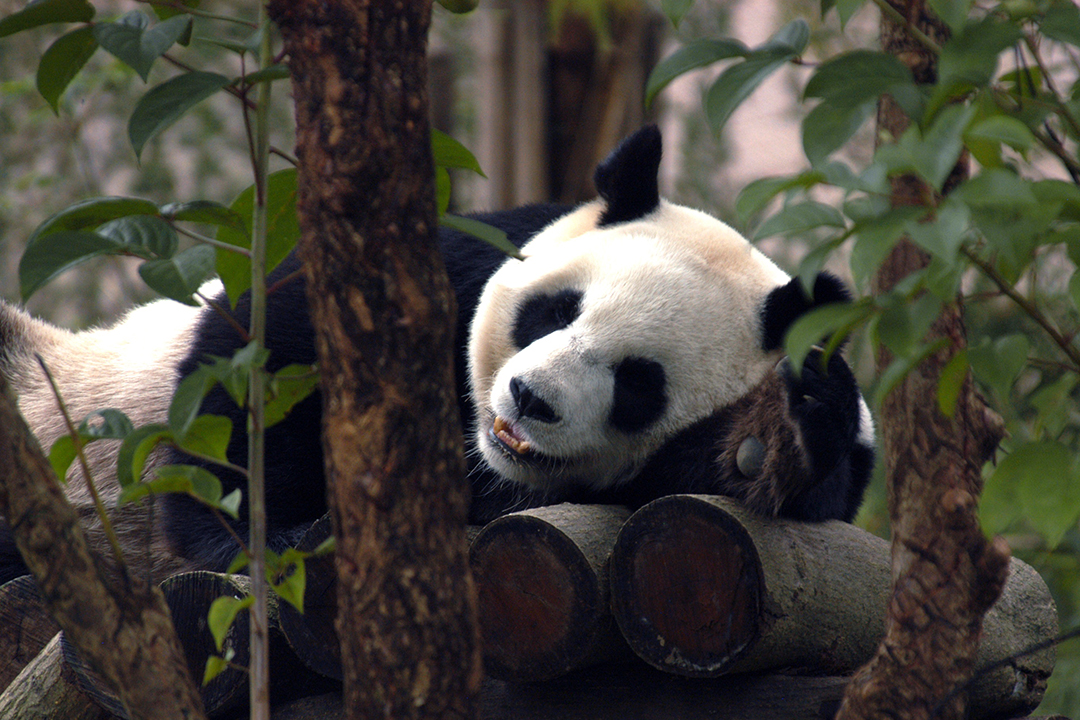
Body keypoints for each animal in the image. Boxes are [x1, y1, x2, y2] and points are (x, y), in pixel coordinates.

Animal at [0, 125, 874, 582]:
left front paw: (779, 437)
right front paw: (252, 533)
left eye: (638, 384)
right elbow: (267, 362)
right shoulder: (451, 262)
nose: (531, 401)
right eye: (554, 312)